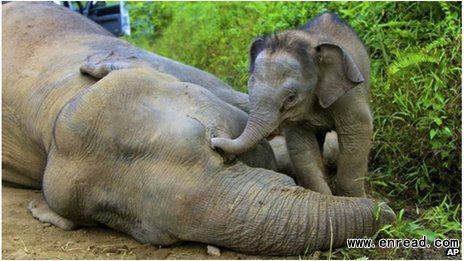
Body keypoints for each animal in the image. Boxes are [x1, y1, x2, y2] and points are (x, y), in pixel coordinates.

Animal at [214, 11, 374, 195]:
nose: (213, 142)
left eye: (291, 98)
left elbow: (357, 131)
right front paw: (323, 196)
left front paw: (351, 198)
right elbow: (300, 146)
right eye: (248, 91)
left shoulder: (348, 94)